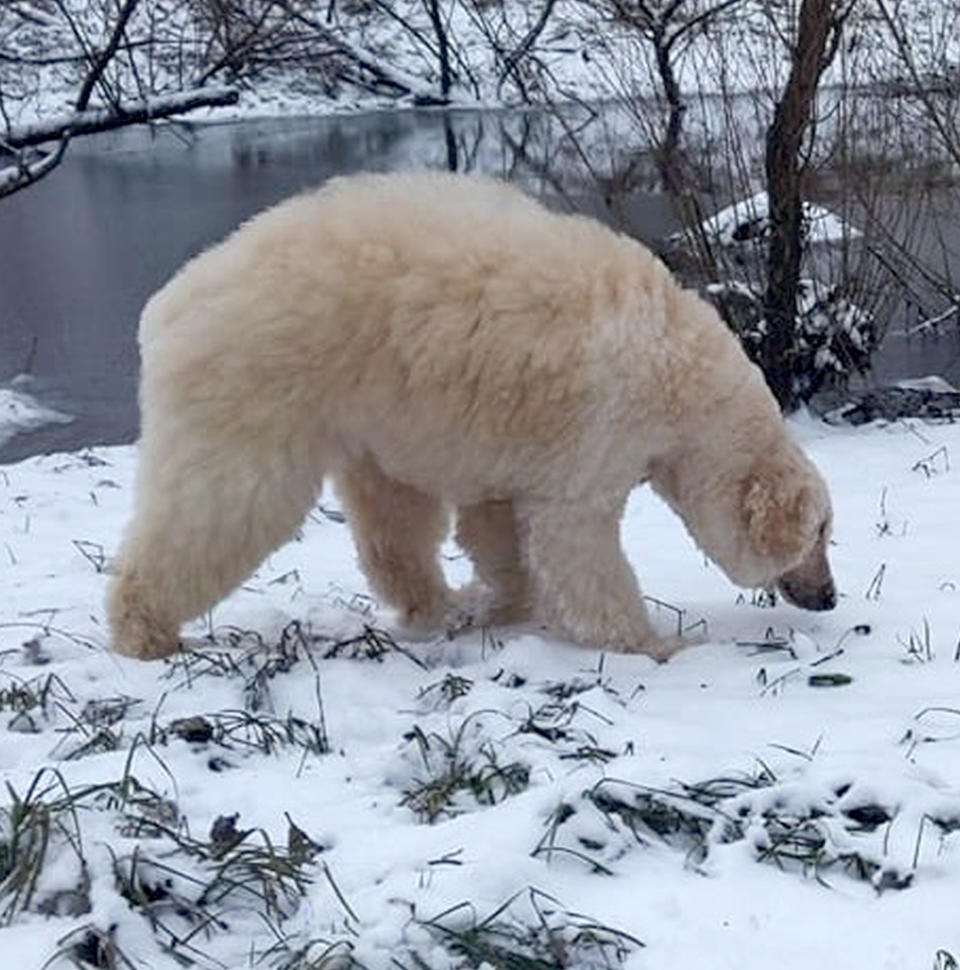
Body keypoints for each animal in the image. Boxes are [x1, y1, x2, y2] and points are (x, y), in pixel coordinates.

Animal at [105, 170, 832, 660]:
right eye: (821, 534)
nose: (827, 595)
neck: (679, 367)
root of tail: (168, 305)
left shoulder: (516, 445)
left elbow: (497, 523)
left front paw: (502, 605)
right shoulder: (601, 425)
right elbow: (578, 545)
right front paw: (657, 643)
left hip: (365, 405)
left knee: (392, 517)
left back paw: (439, 602)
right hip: (256, 385)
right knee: (223, 504)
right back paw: (145, 629)